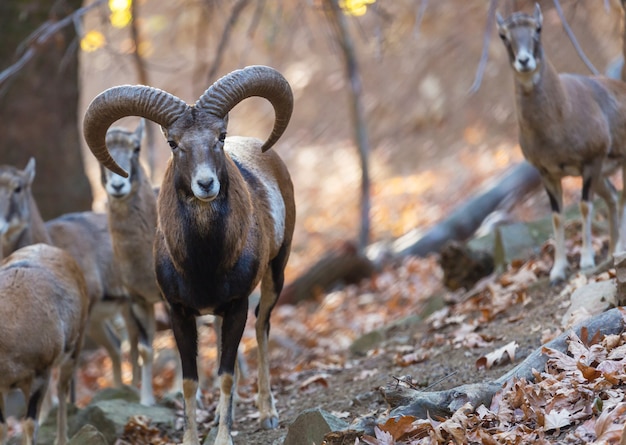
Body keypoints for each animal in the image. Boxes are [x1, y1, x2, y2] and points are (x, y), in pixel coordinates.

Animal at [83, 66, 294, 444]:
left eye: (220, 136)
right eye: (173, 143)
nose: (206, 184)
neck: (203, 262)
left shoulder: (237, 305)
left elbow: (225, 374)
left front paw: (223, 437)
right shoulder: (179, 312)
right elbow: (190, 381)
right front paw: (194, 437)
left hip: (275, 273)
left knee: (262, 328)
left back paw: (267, 413)